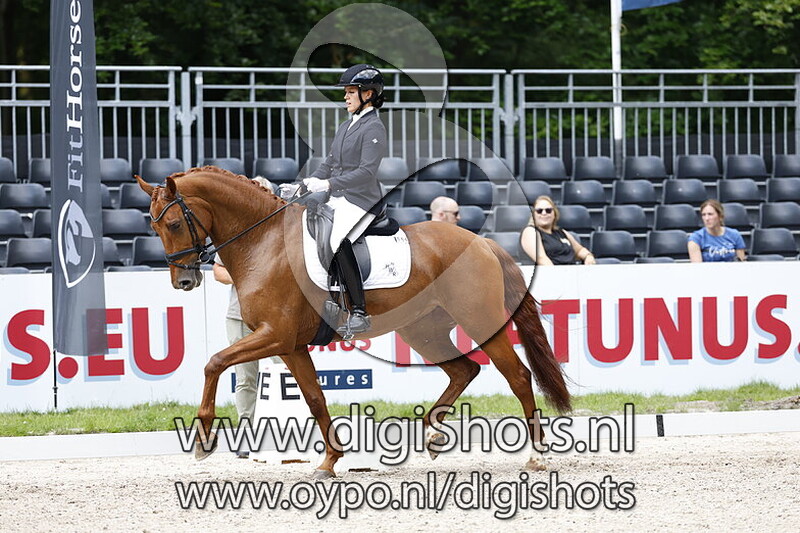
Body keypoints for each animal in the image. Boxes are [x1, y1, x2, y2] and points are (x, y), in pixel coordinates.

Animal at [136, 166, 571, 478]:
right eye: (153, 226)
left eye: (173, 224)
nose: (184, 282)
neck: (265, 241)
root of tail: (481, 242)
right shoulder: (289, 345)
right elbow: (314, 398)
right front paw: (329, 461)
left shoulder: (274, 335)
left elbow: (214, 362)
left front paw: (202, 440)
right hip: (423, 330)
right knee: (464, 369)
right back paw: (431, 435)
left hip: (479, 321)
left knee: (517, 376)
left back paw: (536, 456)